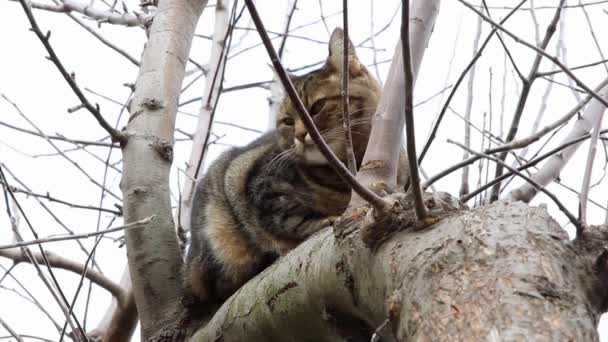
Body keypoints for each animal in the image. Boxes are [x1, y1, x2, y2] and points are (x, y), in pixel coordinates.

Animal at [183, 26, 406, 316]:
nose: (300, 134)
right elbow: (291, 218)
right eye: (288, 121)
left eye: (317, 107)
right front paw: (324, 220)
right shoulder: (261, 187)